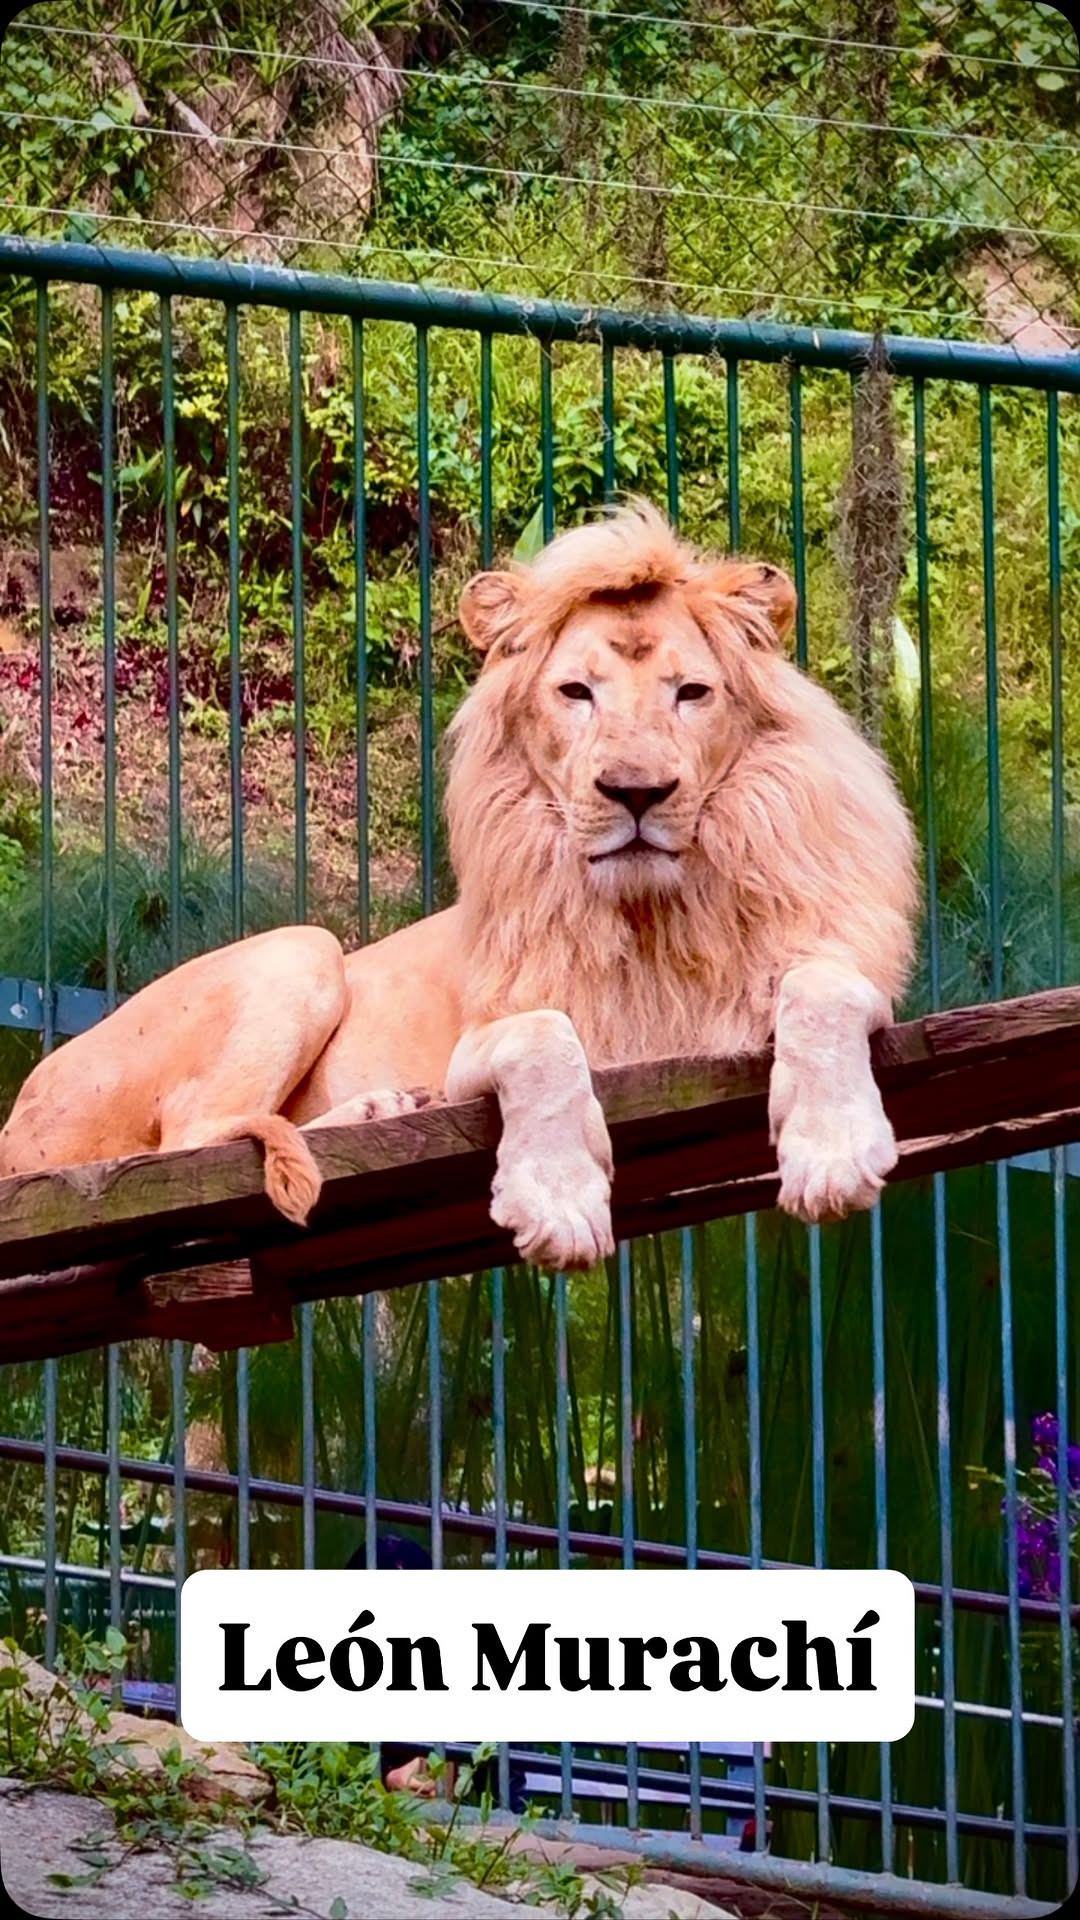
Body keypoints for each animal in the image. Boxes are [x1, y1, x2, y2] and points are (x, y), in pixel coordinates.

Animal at [0, 501, 917, 1268]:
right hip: (300, 952)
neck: (652, 915)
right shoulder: (489, 1034)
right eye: (575, 693)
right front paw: (558, 1204)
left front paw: (833, 1151)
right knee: (187, 1143)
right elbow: (545, 1040)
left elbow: (820, 992)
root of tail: (16, 1119)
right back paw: (380, 1112)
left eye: (691, 693)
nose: (635, 792)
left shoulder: (834, 972)